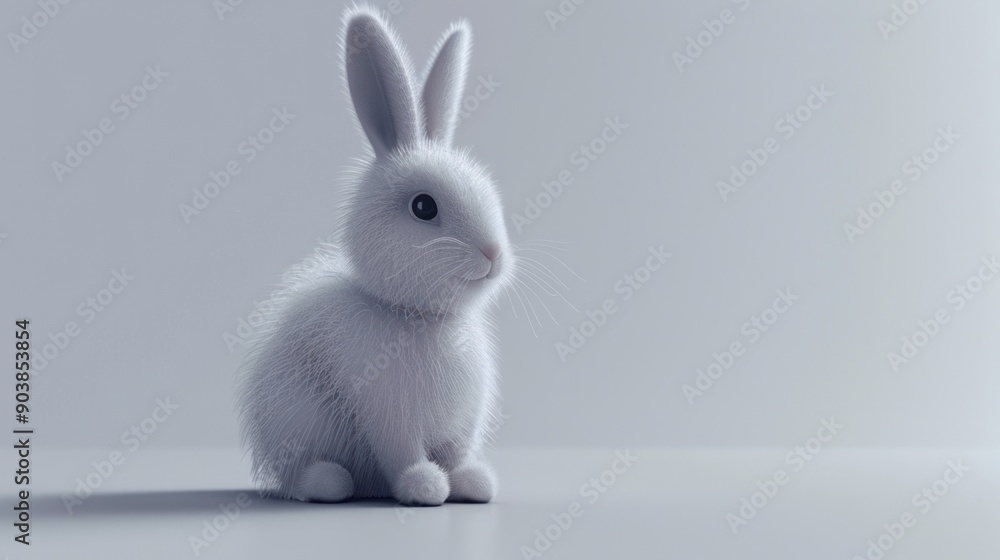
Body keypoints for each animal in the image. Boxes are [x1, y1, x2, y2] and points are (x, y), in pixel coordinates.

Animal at [236, 5, 513, 506]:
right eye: (423, 207)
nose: (494, 253)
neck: (422, 317)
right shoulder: (388, 414)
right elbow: (401, 451)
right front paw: (424, 487)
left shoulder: (460, 426)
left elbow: (457, 454)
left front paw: (472, 483)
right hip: (297, 421)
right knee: (296, 477)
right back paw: (329, 482)